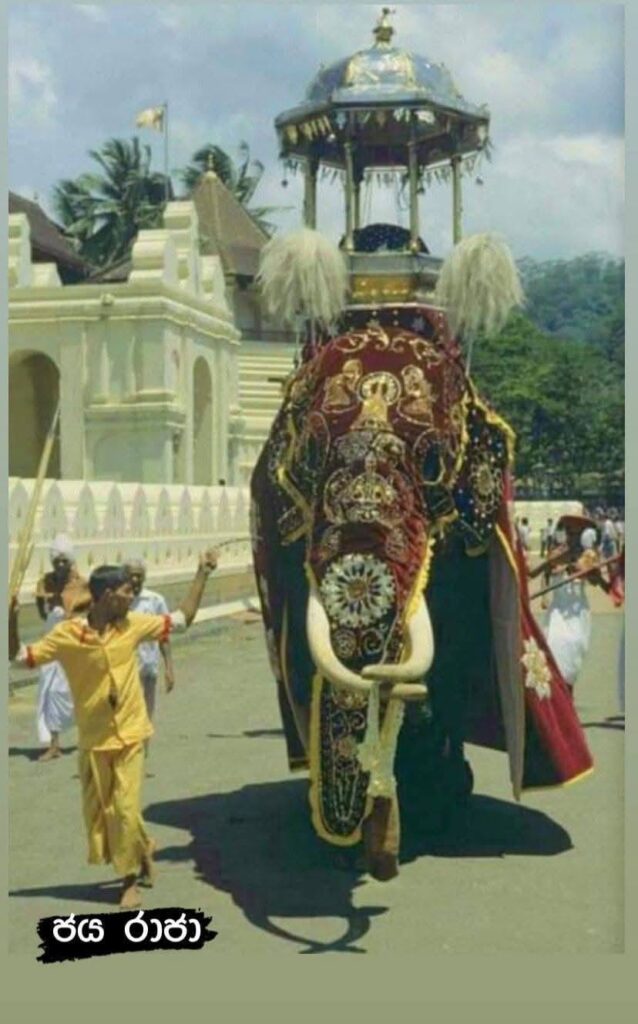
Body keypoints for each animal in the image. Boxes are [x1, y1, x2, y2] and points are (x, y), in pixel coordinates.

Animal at [250, 232, 593, 880]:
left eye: (435, 464)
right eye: (306, 456)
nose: (377, 851)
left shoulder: (468, 540)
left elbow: (442, 665)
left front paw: (427, 804)